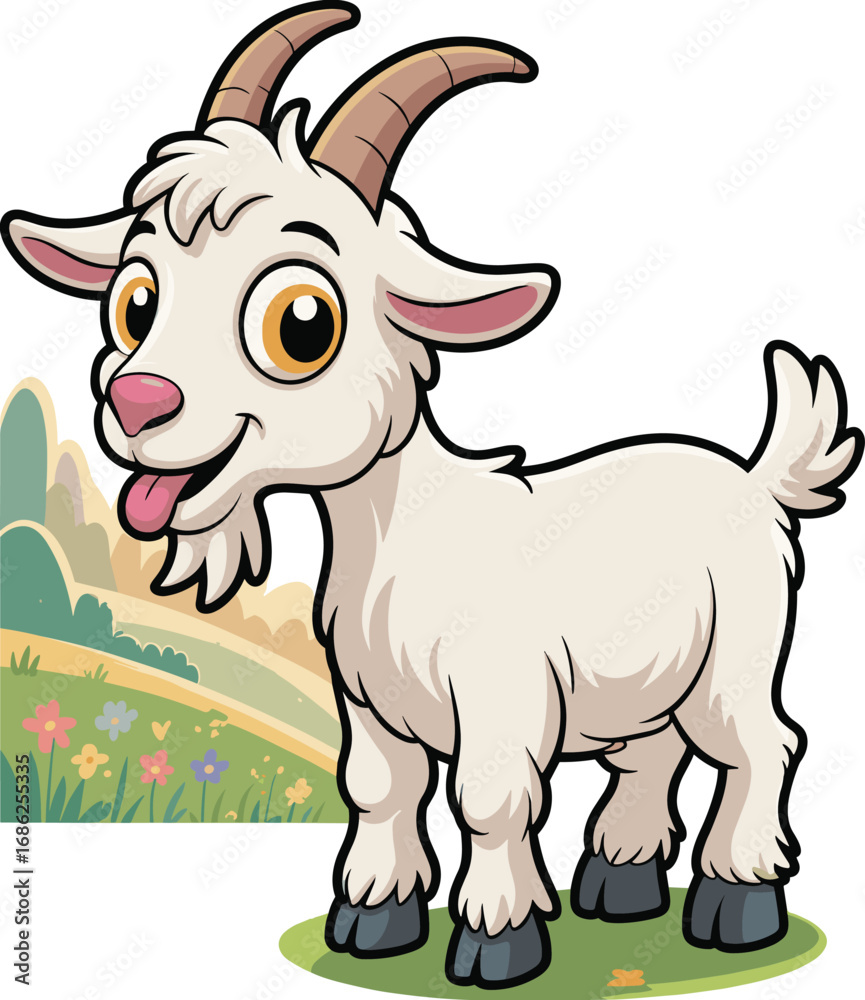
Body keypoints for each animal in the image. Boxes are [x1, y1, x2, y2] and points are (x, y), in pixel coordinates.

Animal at [3, 4, 861, 988]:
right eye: (136, 300)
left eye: (303, 322)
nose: (137, 403)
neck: (401, 537)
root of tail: (754, 477)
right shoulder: (372, 706)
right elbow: (380, 792)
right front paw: (372, 919)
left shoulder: (501, 699)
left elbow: (486, 803)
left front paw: (496, 942)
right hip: (643, 678)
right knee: (647, 757)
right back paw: (619, 880)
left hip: (735, 656)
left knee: (759, 746)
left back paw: (736, 902)